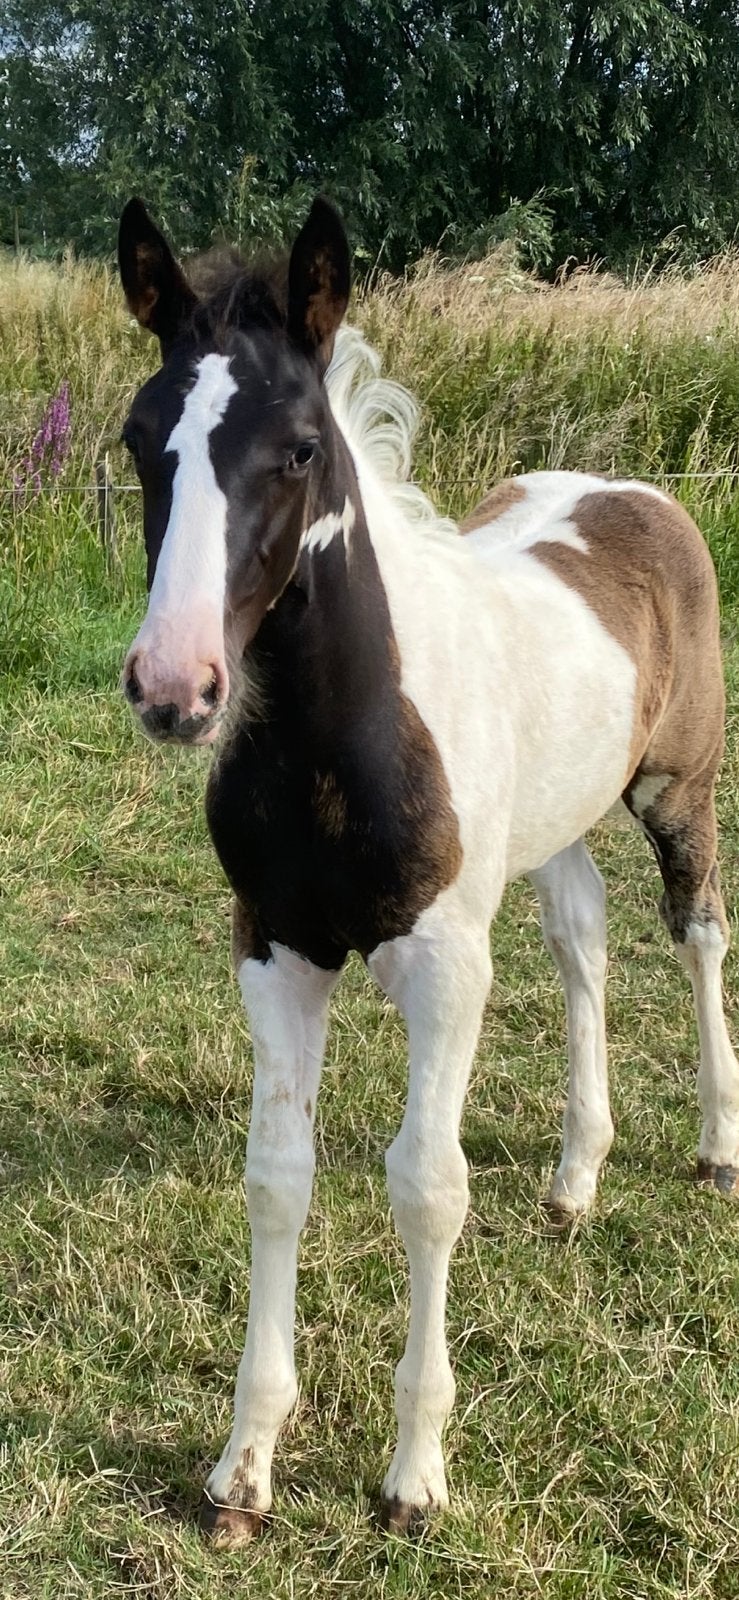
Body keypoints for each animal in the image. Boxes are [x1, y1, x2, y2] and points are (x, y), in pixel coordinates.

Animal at [117, 195, 739, 1544]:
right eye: (142, 439)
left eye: (301, 447)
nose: (175, 685)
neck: (340, 734)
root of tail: (633, 491)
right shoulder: (274, 949)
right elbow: (277, 1179)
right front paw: (243, 1469)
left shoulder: (446, 968)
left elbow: (426, 1187)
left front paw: (413, 1475)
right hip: (550, 830)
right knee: (581, 941)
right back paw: (573, 1178)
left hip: (676, 787)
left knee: (697, 930)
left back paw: (717, 1145)